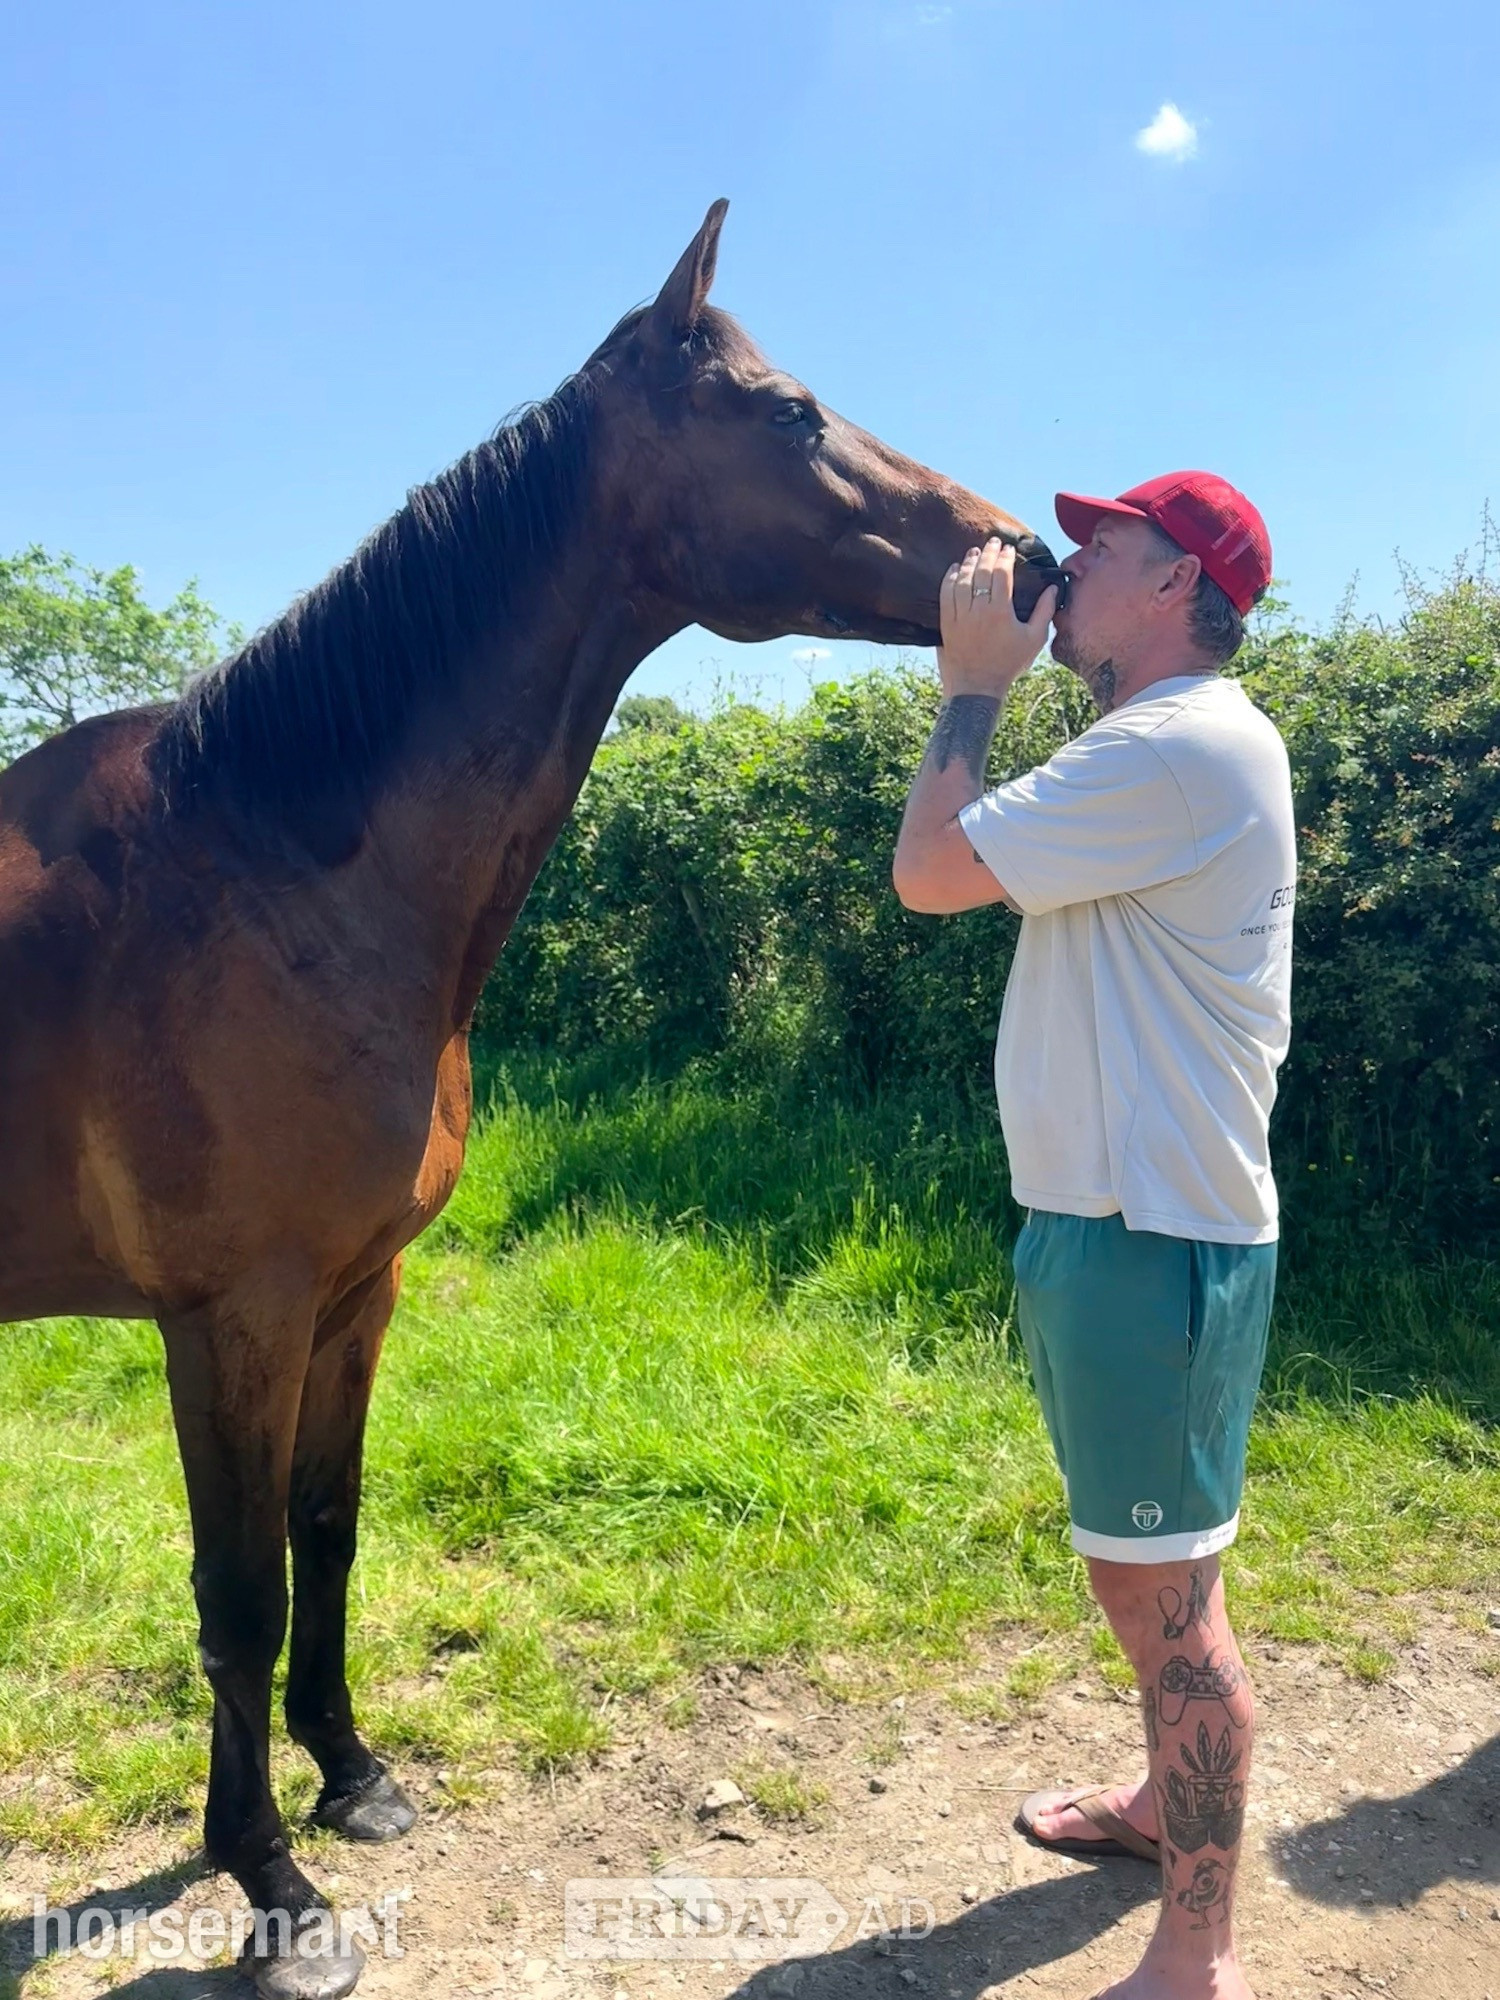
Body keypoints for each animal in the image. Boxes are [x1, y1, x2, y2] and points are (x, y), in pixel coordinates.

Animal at [0, 200, 1059, 1998]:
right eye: (790, 413)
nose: (1025, 555)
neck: (265, 874)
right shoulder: (233, 1317)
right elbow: (237, 1593)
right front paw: (274, 1892)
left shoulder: (355, 1292)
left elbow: (329, 1528)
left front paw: (354, 1776)